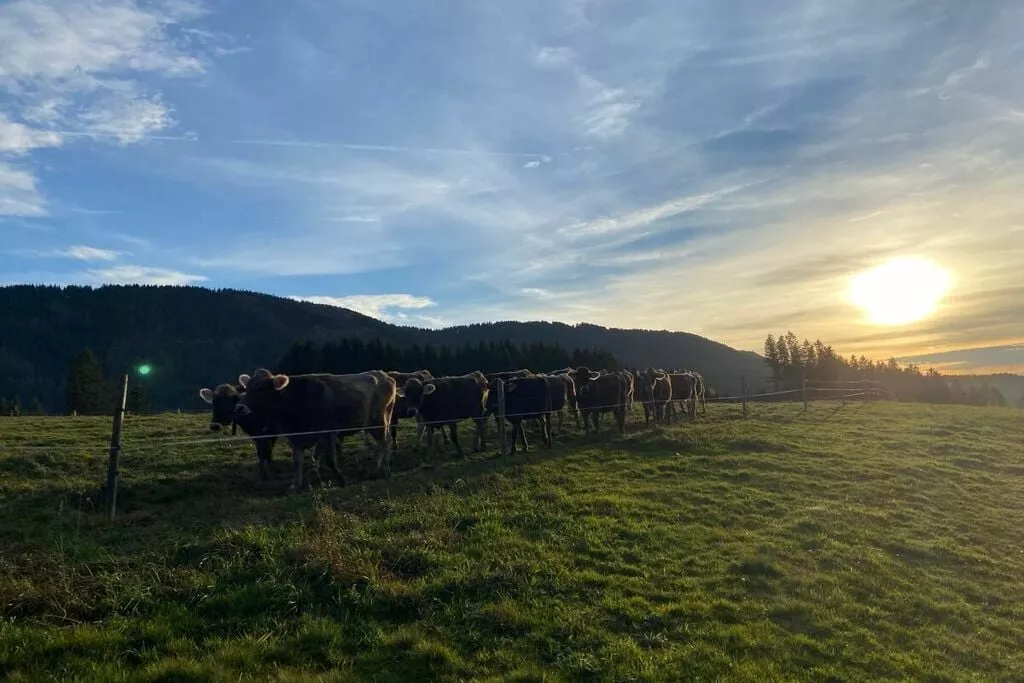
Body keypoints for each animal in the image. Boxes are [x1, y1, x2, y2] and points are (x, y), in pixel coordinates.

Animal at [235, 368, 395, 491]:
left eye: (260, 388)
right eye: (246, 388)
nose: (239, 407)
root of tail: (384, 375)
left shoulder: (326, 432)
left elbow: (330, 460)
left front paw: (342, 480)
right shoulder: (296, 438)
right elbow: (297, 461)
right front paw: (296, 485)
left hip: (378, 420)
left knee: (384, 442)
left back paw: (381, 469)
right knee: (385, 441)